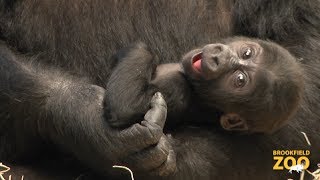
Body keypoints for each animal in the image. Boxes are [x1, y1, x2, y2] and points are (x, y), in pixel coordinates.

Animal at [105, 36, 302, 133]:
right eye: (247, 53)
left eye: (240, 80)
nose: (219, 58)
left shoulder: (177, 88)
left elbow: (126, 106)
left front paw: (137, 49)